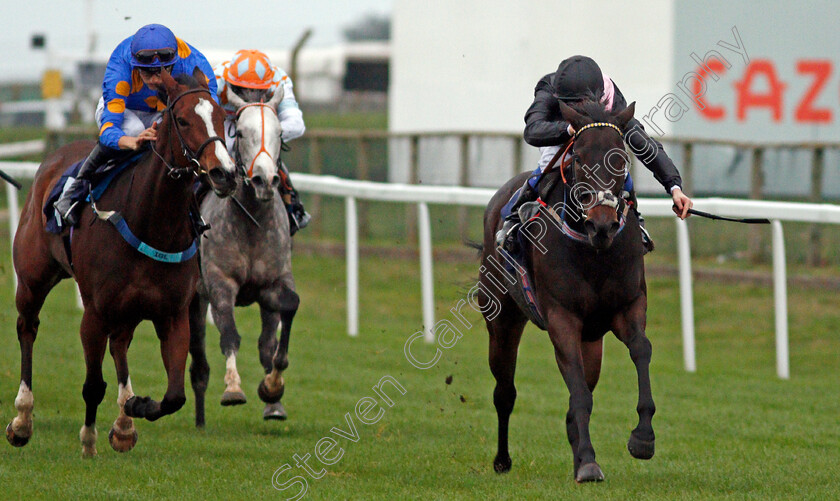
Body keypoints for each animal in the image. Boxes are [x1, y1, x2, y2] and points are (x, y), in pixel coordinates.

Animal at [7, 69, 236, 458]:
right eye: (182, 119)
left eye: (222, 116)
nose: (225, 174)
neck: (151, 222)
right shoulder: (95, 312)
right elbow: (92, 385)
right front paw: (88, 441)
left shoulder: (173, 313)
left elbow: (174, 395)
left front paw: (134, 408)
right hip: (33, 279)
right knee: (27, 328)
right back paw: (22, 420)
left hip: (127, 309)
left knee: (120, 344)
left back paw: (125, 423)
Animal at [189, 84, 300, 424]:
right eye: (239, 133)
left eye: (280, 133)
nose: (265, 180)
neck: (252, 221)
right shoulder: (219, 283)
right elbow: (229, 334)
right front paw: (233, 389)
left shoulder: (274, 282)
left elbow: (275, 333)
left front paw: (273, 390)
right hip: (193, 297)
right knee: (197, 355)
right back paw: (199, 417)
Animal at [480, 98, 656, 480]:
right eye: (578, 158)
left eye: (621, 157)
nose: (602, 224)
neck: (594, 250)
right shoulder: (562, 317)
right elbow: (577, 390)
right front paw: (588, 461)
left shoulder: (628, 306)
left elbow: (641, 350)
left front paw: (643, 437)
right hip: (501, 319)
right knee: (504, 392)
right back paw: (502, 459)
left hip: (592, 340)